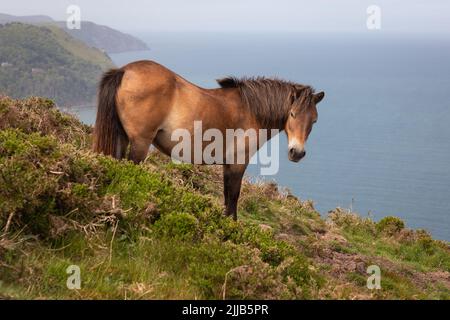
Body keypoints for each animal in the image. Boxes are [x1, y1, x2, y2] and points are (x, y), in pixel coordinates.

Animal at [93, 60, 324, 220]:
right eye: (292, 114)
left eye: (314, 120)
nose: (297, 152)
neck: (251, 110)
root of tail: (125, 71)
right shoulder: (238, 163)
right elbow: (233, 198)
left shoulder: (227, 164)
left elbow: (226, 196)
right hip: (139, 143)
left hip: (122, 139)